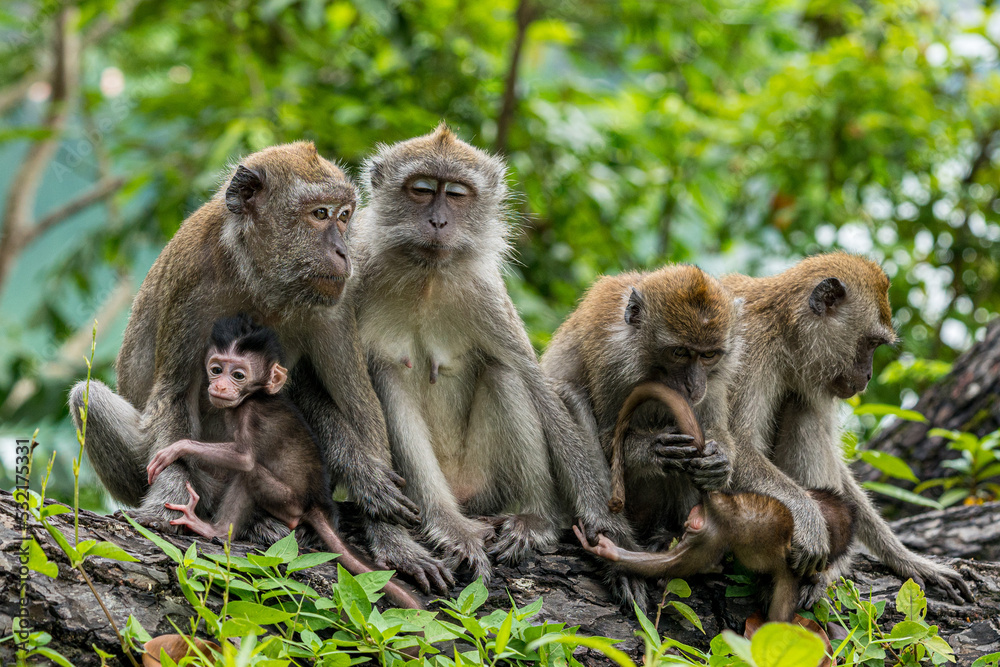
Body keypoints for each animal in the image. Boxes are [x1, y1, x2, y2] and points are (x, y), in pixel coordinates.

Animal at [146, 314, 422, 612]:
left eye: (238, 375)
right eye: (216, 369)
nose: (219, 386)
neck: (255, 396)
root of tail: (314, 505)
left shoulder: (250, 414)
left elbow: (244, 459)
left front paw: (176, 448)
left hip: (287, 501)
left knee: (249, 474)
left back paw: (213, 528)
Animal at [724, 252, 972, 604]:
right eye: (870, 342)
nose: (867, 375)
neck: (785, 330)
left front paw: (905, 557)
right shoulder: (748, 347)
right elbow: (736, 448)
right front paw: (810, 519)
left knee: (803, 410)